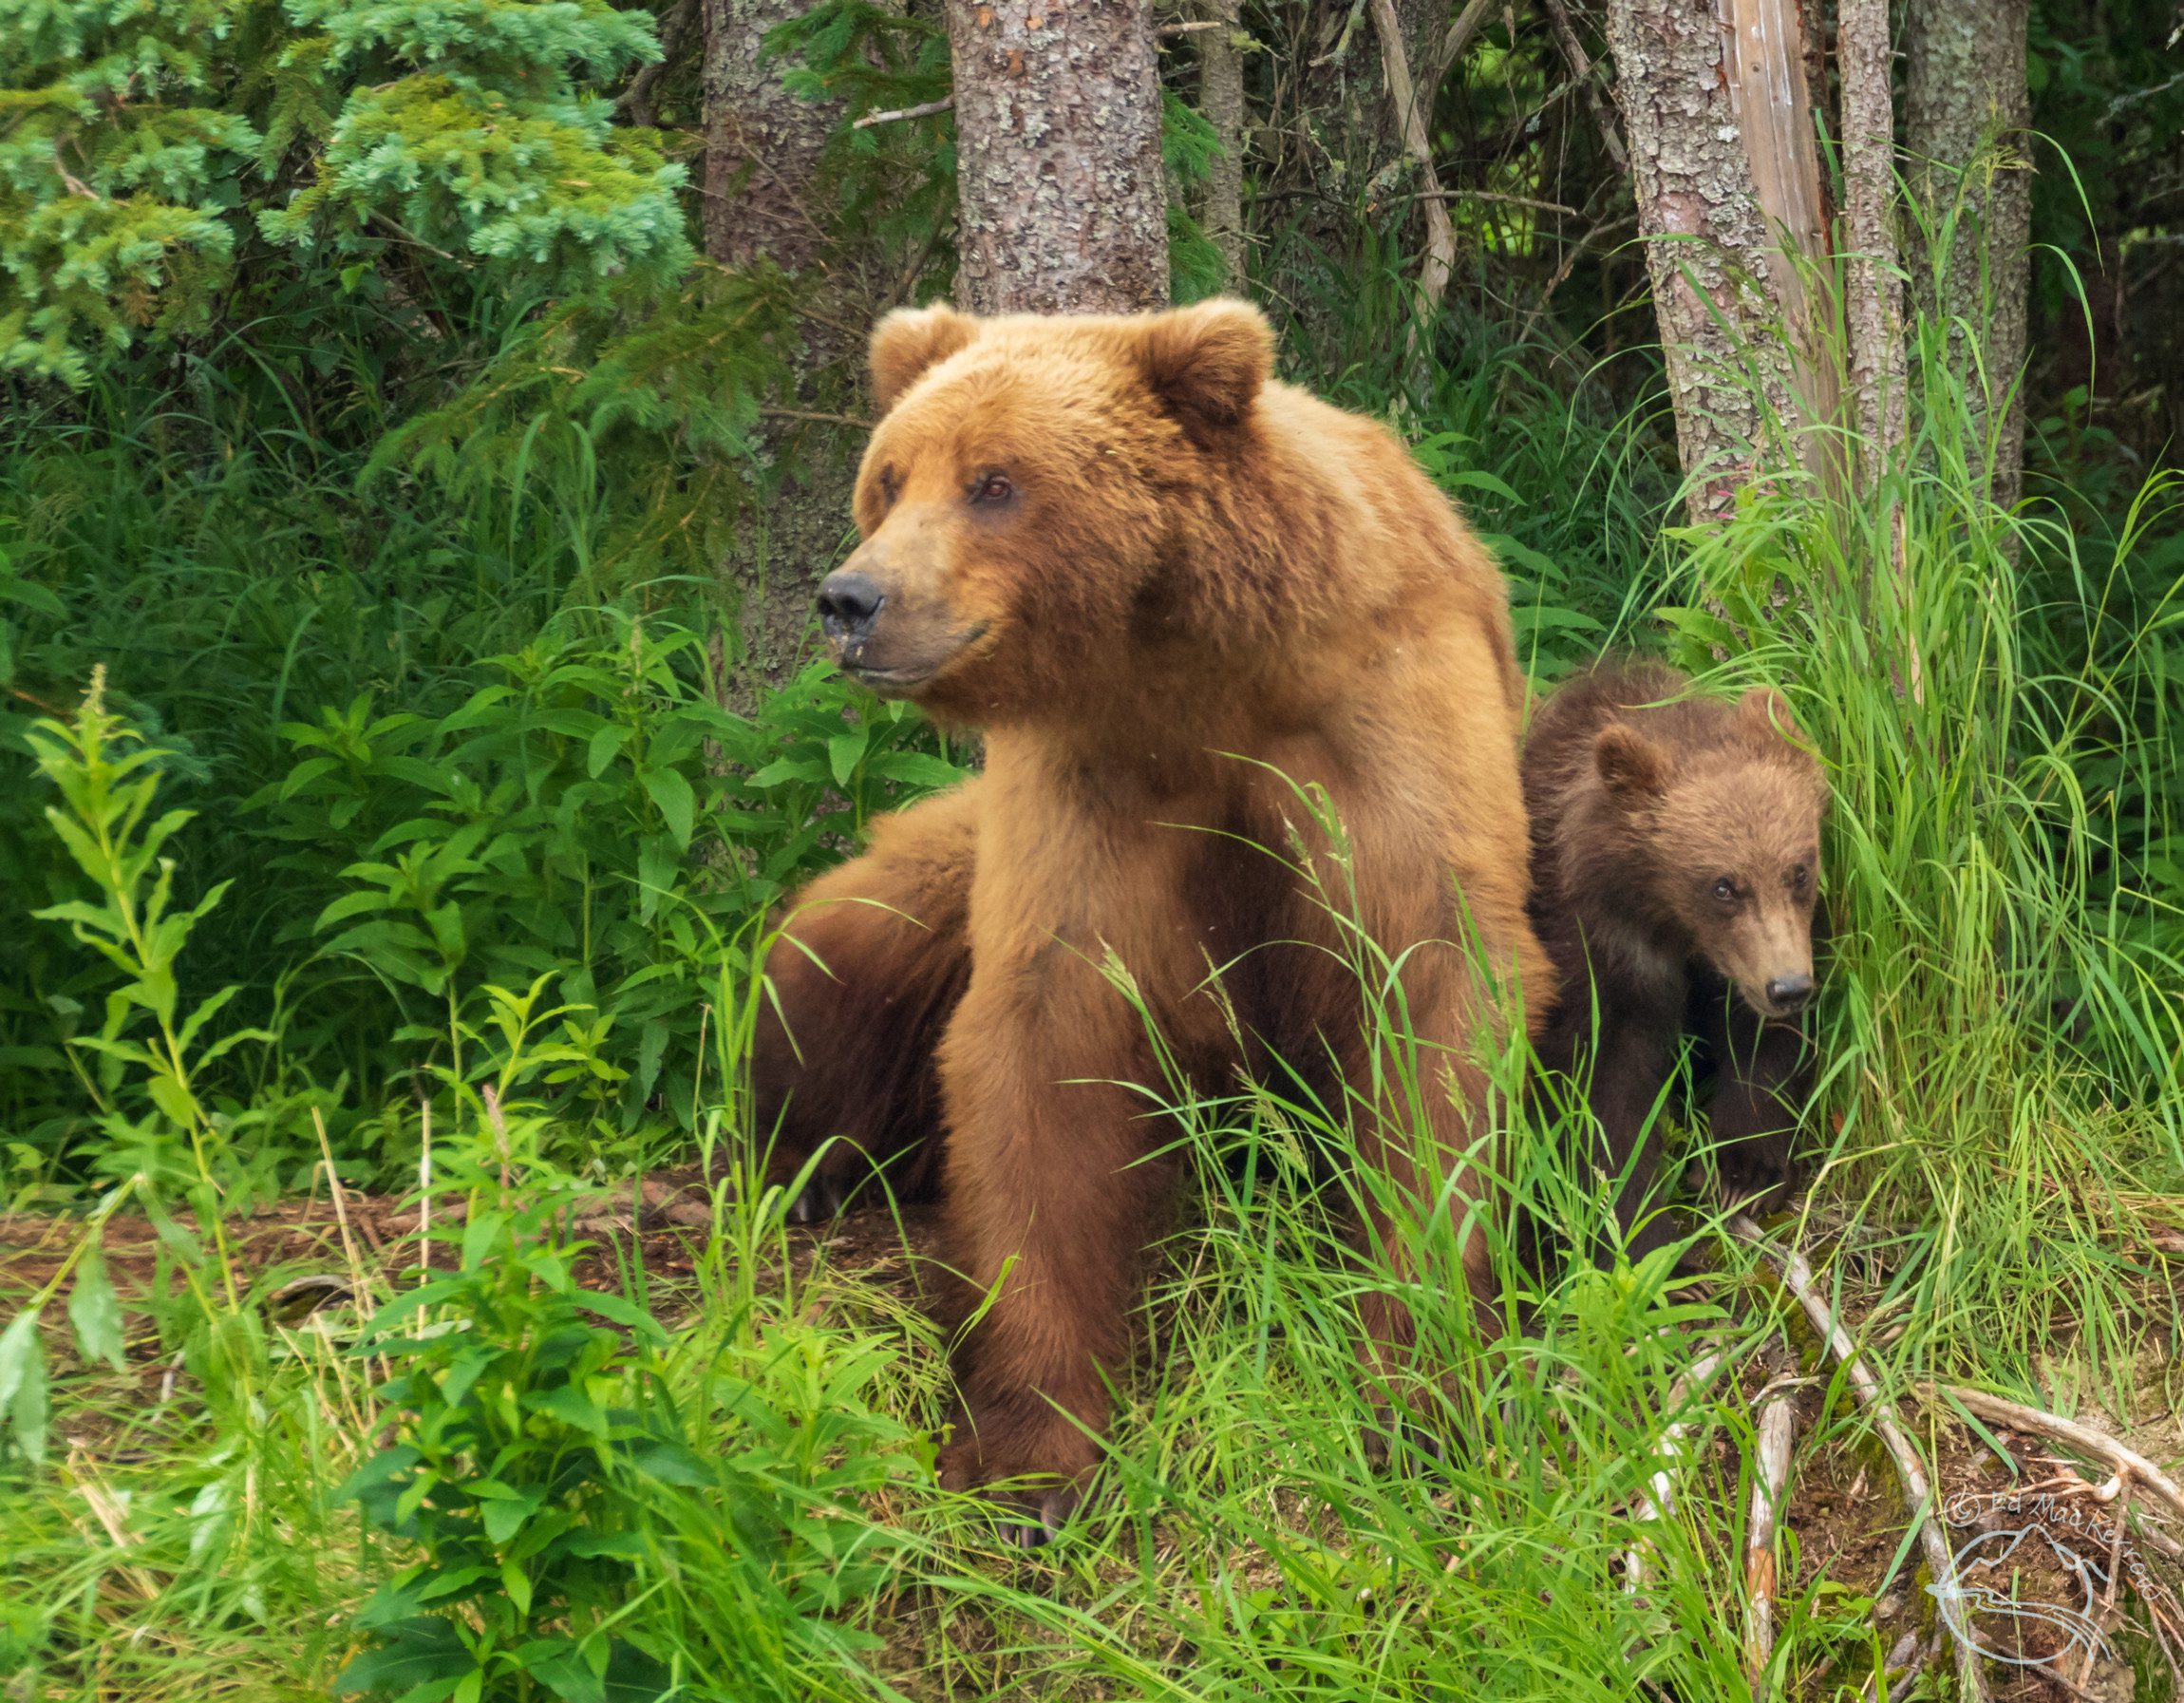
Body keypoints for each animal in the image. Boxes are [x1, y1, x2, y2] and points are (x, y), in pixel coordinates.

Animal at [751, 296, 1554, 1545]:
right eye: (886, 478)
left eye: (993, 481)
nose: (851, 601)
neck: (1184, 661)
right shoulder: (1087, 782)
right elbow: (1045, 1045)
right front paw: (1029, 1456)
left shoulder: (1376, 722)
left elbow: (1430, 1005)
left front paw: (1412, 1385)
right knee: (836, 954)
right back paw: (810, 1164)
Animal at [1529, 659, 1835, 1258]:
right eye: (1722, 885)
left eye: (1799, 870)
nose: (1788, 988)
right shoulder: (1600, 953)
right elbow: (1603, 1095)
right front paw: (1648, 1241)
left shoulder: (1753, 960)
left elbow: (1759, 1047)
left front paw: (1744, 1172)